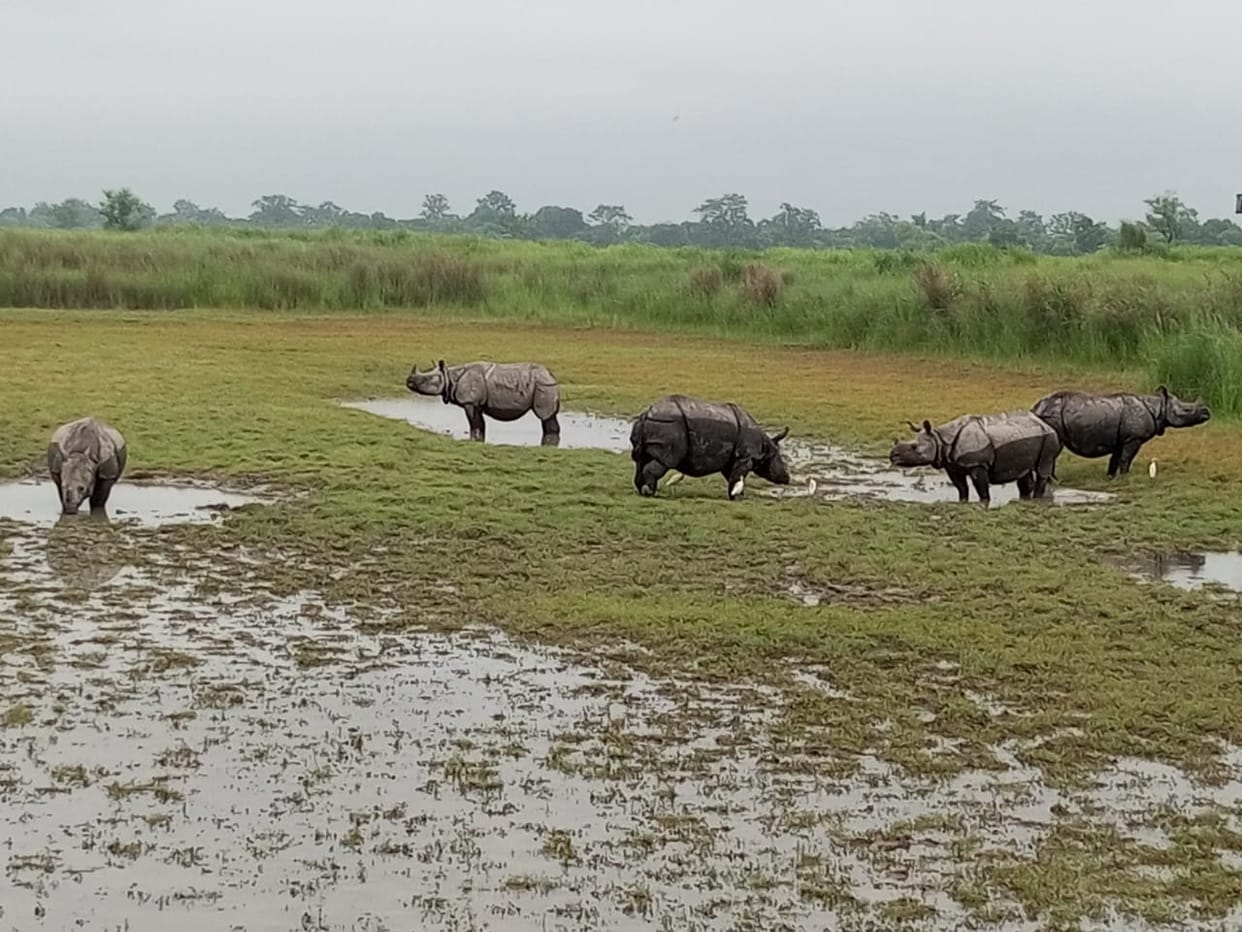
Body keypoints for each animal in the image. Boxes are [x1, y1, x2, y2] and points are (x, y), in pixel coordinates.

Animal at [406, 359, 562, 446]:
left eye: (425, 380)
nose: (408, 381)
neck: (449, 376)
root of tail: (552, 376)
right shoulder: (477, 404)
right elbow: (480, 423)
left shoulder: (470, 402)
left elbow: (474, 422)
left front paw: (475, 438)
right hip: (543, 383)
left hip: (543, 385)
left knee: (545, 416)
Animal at [630, 394, 790, 499]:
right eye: (777, 459)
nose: (786, 478)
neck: (765, 446)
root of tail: (646, 414)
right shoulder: (745, 457)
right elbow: (738, 475)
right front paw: (738, 498)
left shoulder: (731, 458)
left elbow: (732, 477)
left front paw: (737, 495)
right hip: (669, 426)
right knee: (664, 461)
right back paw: (649, 493)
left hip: (656, 425)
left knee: (641, 460)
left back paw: (644, 491)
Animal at [888, 410, 1061, 505]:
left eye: (914, 448)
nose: (892, 456)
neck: (939, 439)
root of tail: (1045, 423)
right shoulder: (952, 465)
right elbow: (961, 487)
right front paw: (962, 501)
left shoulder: (977, 463)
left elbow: (981, 488)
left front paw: (984, 503)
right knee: (1023, 472)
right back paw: (1025, 499)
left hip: (1049, 438)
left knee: (1043, 468)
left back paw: (1036, 500)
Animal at [1031, 386, 1210, 477]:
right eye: (1187, 410)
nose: (1207, 413)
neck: (1158, 407)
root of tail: (1036, 407)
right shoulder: (1134, 438)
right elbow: (1126, 458)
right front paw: (1125, 476)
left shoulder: (1120, 439)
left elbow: (1115, 458)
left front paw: (1111, 476)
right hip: (1053, 415)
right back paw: (1053, 480)